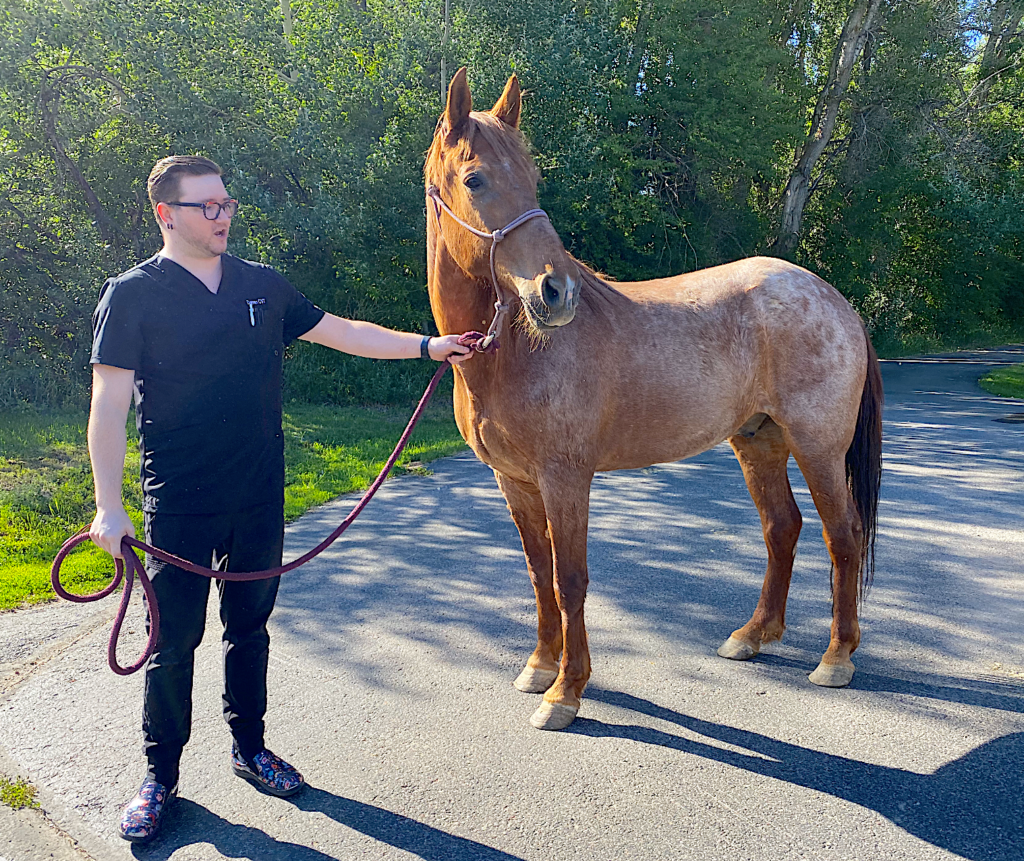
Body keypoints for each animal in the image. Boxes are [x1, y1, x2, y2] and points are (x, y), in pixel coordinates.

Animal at [423, 69, 880, 733]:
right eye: (475, 178)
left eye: (532, 176)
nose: (556, 292)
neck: (514, 354)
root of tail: (834, 297)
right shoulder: (515, 481)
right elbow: (538, 574)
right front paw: (539, 667)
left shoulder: (565, 478)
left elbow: (571, 579)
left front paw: (566, 692)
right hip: (758, 440)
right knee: (782, 528)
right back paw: (753, 636)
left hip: (818, 446)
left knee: (841, 535)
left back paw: (836, 659)